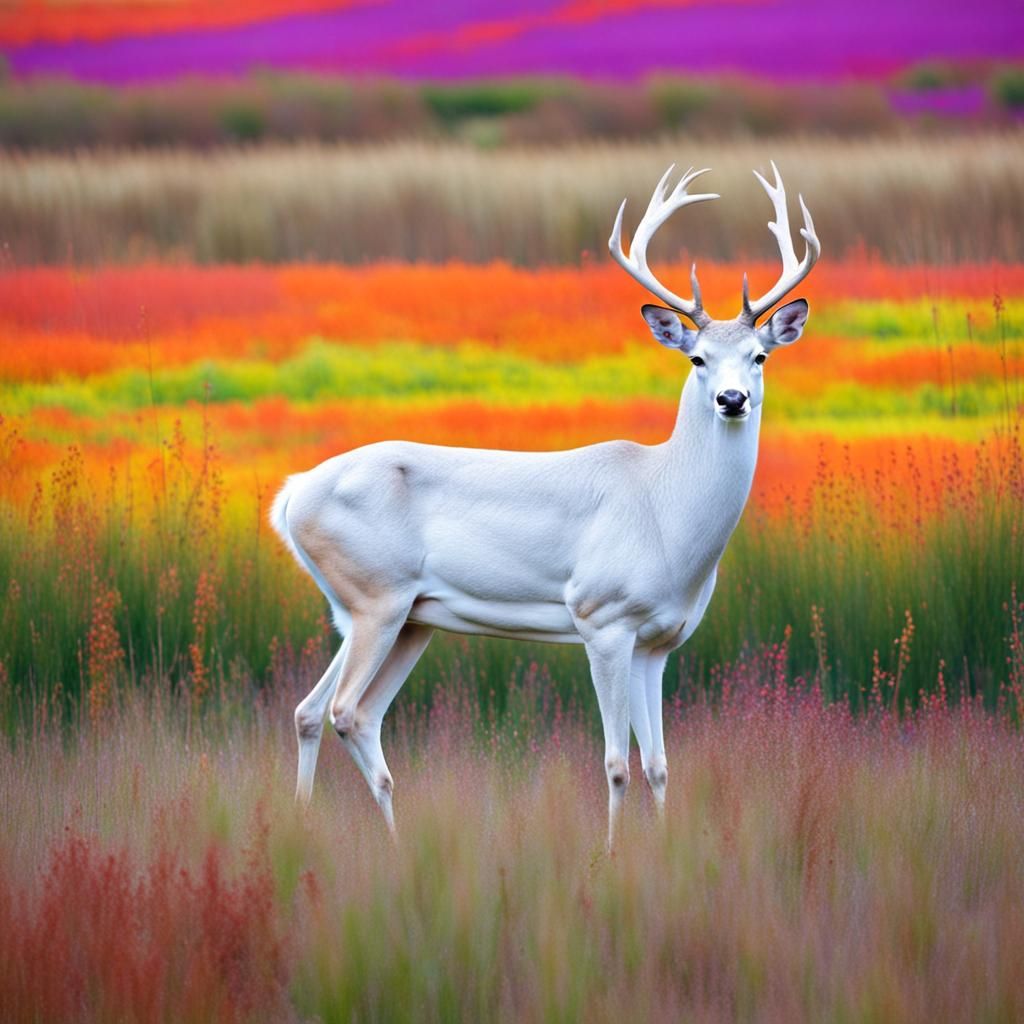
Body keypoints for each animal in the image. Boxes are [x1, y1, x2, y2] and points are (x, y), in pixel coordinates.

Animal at [271, 161, 820, 849]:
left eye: (760, 356)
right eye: (697, 358)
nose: (731, 399)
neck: (665, 509)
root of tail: (292, 494)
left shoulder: (659, 641)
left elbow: (660, 764)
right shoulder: (601, 617)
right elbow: (616, 763)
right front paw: (611, 855)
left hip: (397, 615)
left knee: (320, 710)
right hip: (376, 598)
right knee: (343, 710)